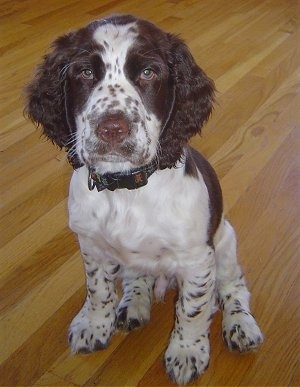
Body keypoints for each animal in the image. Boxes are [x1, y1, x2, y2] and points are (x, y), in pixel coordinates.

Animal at [27, 14, 264, 384]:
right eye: (85, 72)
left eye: (149, 72)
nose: (112, 128)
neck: (126, 188)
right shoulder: (91, 245)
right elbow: (98, 289)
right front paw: (94, 325)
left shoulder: (197, 259)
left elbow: (193, 310)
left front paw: (186, 352)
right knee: (136, 277)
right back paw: (133, 305)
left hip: (225, 241)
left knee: (233, 286)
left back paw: (240, 325)